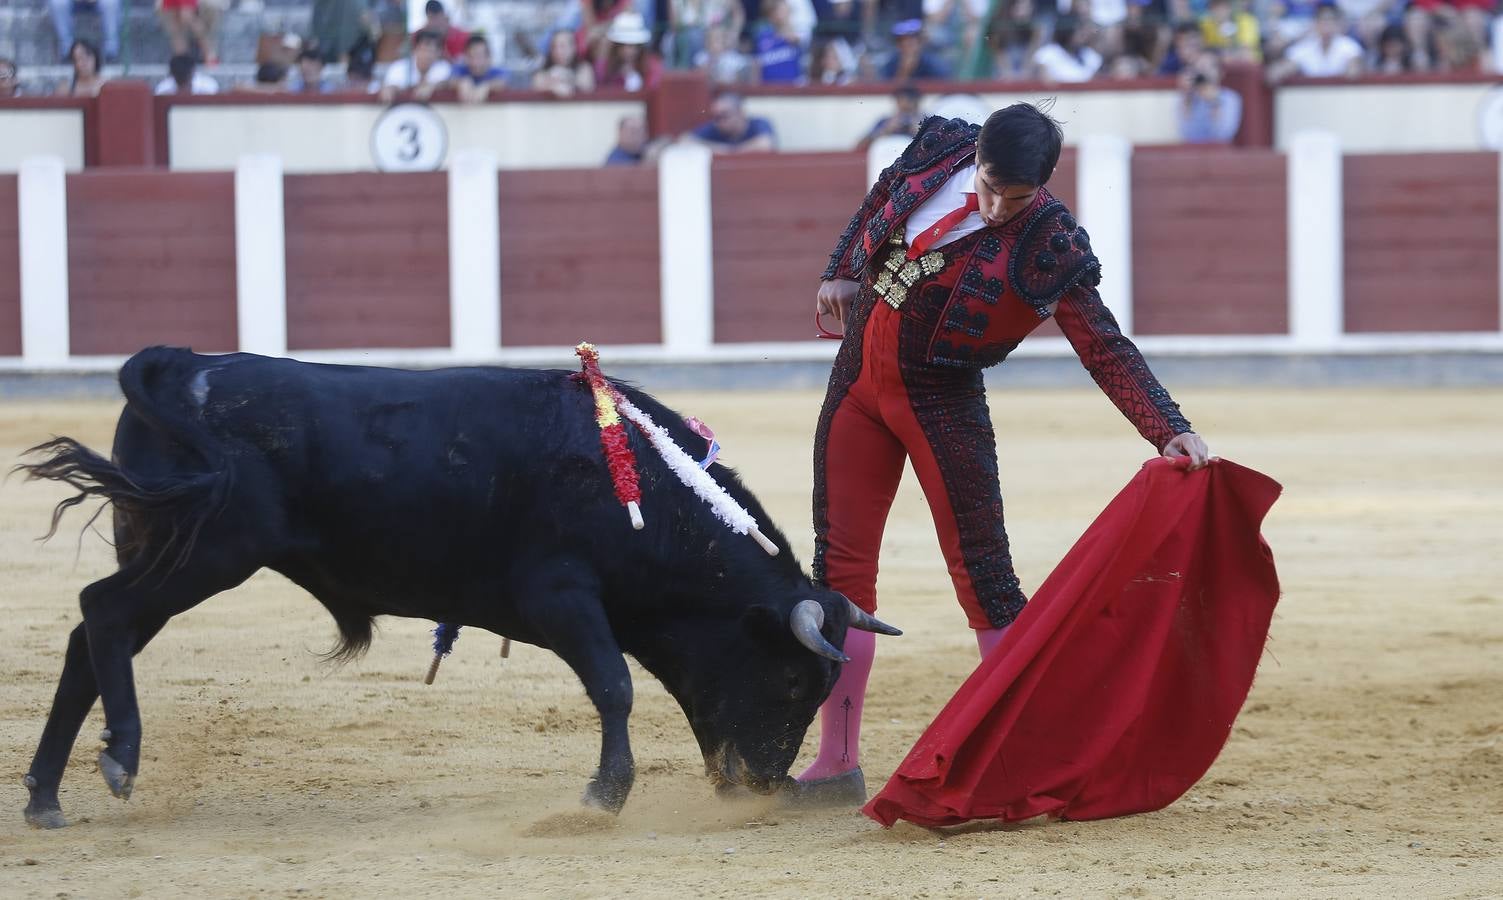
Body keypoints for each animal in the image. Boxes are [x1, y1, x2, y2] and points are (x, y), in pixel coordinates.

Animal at [17, 347, 895, 829]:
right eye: (792, 680)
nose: (764, 787)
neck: (642, 489)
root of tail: (184, 365)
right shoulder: (561, 596)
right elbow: (614, 686)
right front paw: (600, 798)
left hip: (164, 545)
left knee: (90, 637)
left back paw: (44, 797)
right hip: (208, 552)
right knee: (103, 613)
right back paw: (120, 759)